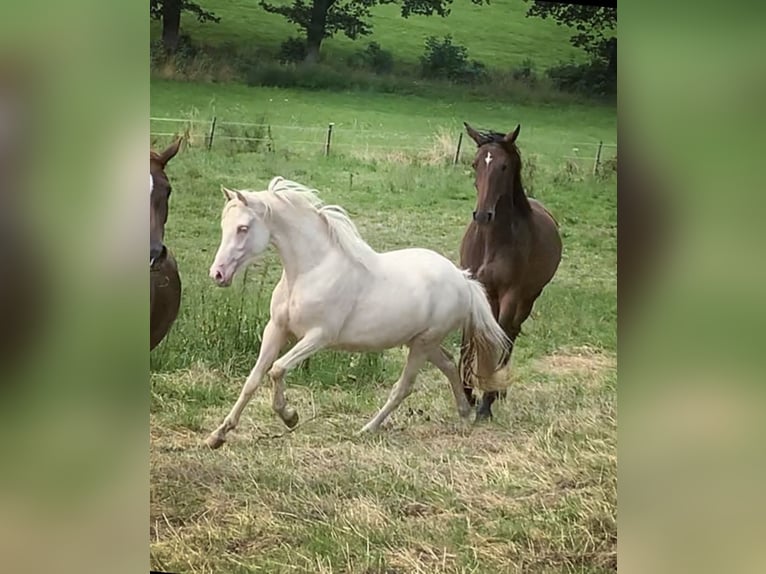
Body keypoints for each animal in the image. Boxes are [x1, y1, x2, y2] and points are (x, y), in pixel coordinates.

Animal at [207, 176, 512, 450]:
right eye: (223, 226)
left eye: (243, 228)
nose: (218, 274)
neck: (312, 270)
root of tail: (464, 280)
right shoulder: (277, 329)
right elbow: (254, 379)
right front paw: (217, 436)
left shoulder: (318, 336)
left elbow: (277, 369)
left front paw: (290, 416)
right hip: (422, 342)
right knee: (449, 365)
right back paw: (464, 414)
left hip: (423, 344)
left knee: (403, 387)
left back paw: (367, 429)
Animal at [460, 124, 568, 420]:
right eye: (475, 163)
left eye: (504, 166)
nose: (482, 215)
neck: (492, 242)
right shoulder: (475, 287)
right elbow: (470, 337)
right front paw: (468, 393)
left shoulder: (511, 295)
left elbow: (502, 336)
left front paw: (486, 401)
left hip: (528, 298)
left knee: (511, 334)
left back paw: (499, 390)